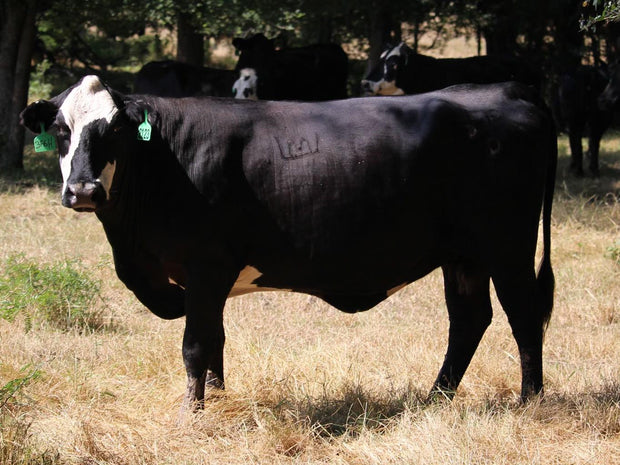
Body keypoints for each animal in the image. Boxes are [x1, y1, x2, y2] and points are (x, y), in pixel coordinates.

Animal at [21, 73, 560, 410]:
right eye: (61, 130)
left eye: (114, 130)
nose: (84, 190)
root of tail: (507, 88)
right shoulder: (208, 280)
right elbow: (216, 340)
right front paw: (218, 401)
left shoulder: (205, 268)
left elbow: (196, 345)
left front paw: (191, 417)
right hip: (464, 255)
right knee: (469, 319)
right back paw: (436, 399)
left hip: (508, 247)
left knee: (523, 315)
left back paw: (530, 401)